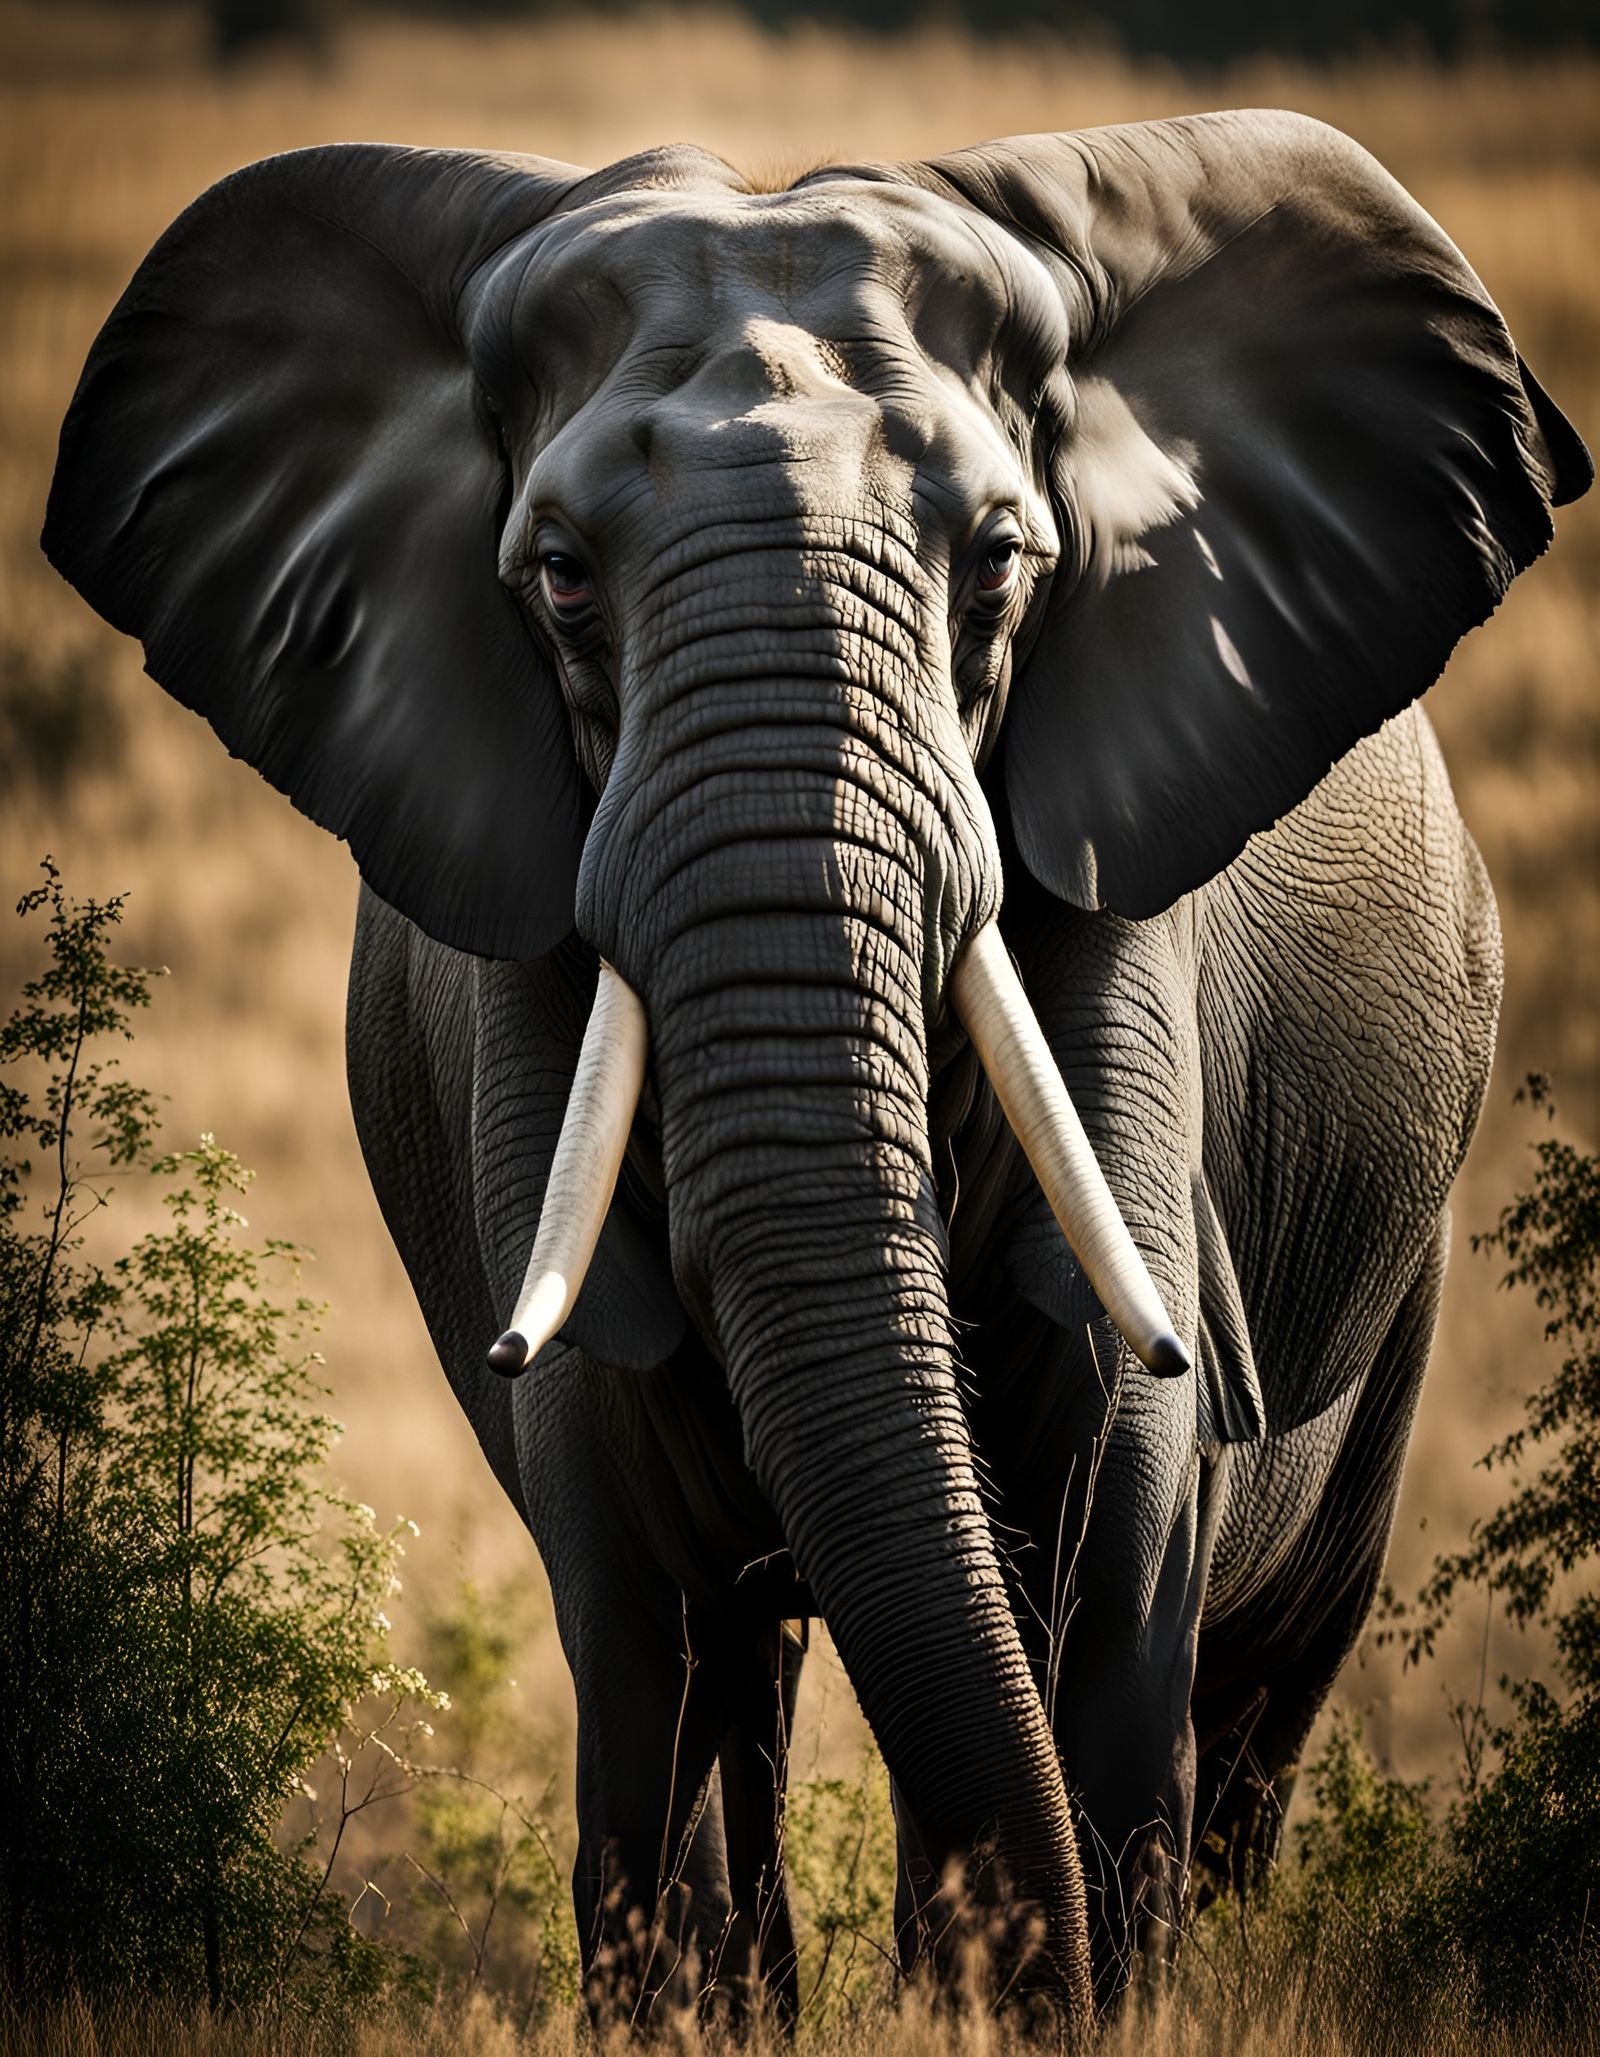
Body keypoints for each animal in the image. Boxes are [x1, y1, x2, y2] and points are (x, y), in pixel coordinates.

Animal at [43, 110, 1590, 2023]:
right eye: (560, 576)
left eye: (1000, 561)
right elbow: (631, 1551)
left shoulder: (1111, 912)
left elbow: (1115, 1493)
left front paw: (1045, 1992)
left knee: (1264, 1674)